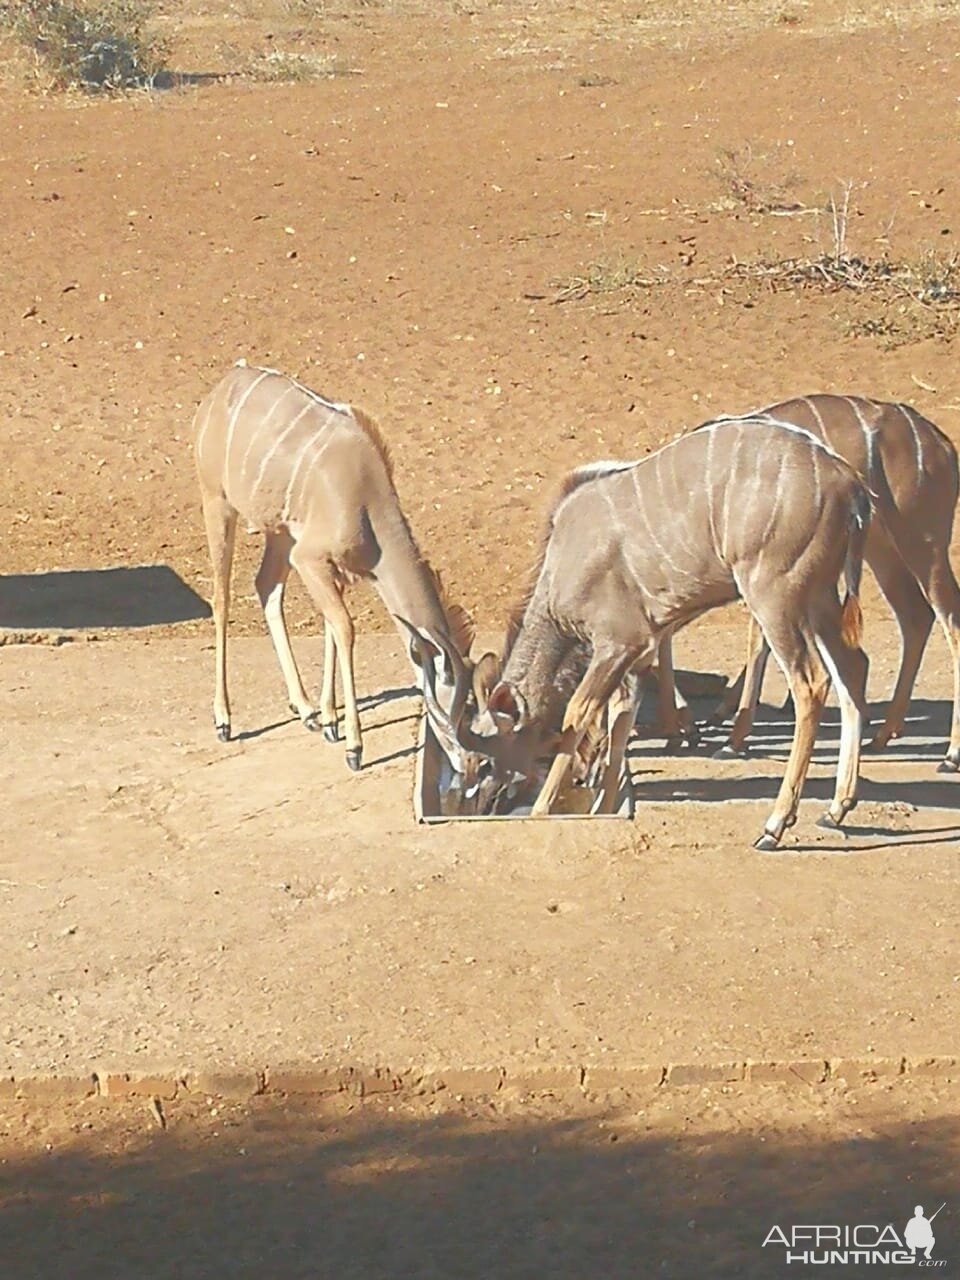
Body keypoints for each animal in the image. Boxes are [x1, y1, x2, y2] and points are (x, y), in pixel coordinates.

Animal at [193, 360, 478, 762]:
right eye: (457, 708)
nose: (470, 761)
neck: (366, 499)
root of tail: (219, 390)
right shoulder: (309, 559)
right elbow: (345, 628)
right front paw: (354, 746)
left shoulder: (332, 568)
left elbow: (331, 627)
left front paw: (329, 720)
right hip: (217, 503)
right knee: (222, 599)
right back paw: (224, 720)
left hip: (279, 532)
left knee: (265, 587)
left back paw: (306, 709)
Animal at [414, 419, 870, 855]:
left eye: (483, 761)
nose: (480, 805)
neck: (561, 570)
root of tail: (849, 483)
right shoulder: (642, 647)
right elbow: (621, 716)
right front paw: (603, 803)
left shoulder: (618, 641)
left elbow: (579, 712)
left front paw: (544, 808)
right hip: (818, 597)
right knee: (852, 667)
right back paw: (837, 807)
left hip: (774, 595)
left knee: (810, 681)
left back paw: (774, 826)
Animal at [660, 394, 960, 768]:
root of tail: (943, 446)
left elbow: (753, 644)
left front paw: (719, 735)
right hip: (880, 550)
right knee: (915, 616)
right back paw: (881, 734)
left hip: (923, 541)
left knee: (949, 618)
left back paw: (950, 753)